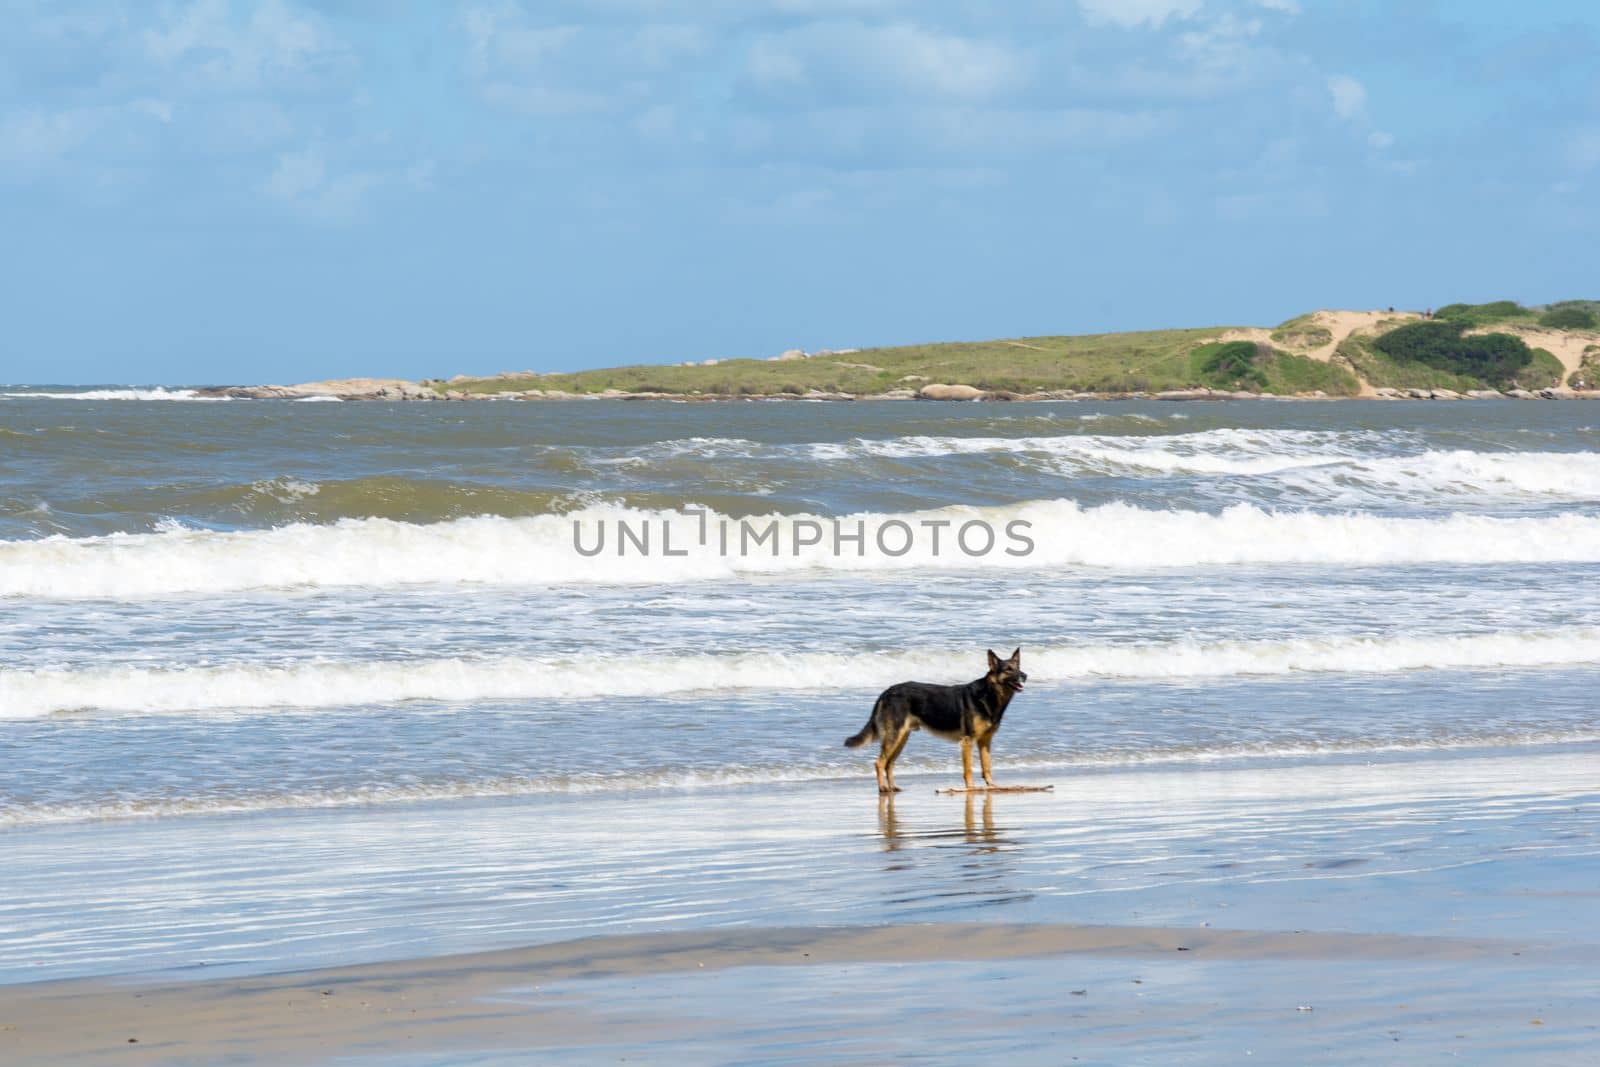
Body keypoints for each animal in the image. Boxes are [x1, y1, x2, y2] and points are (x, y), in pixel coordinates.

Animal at [844, 652, 1030, 793]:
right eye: (1008, 669)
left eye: (1018, 667)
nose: (1025, 675)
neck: (988, 694)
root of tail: (887, 691)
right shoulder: (968, 742)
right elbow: (968, 769)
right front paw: (970, 788)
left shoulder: (985, 742)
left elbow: (987, 766)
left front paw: (991, 786)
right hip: (894, 737)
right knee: (879, 763)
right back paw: (883, 788)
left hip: (901, 739)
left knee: (889, 764)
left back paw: (892, 787)